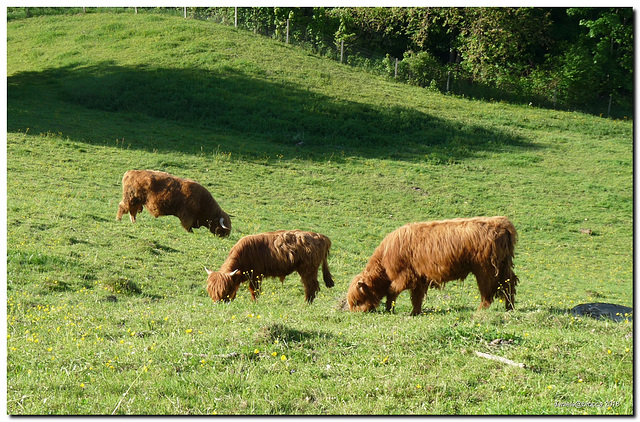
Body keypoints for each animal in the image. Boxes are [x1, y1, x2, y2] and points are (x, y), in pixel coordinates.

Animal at [206, 231, 338, 304]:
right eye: (210, 290)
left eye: (226, 289)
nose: (218, 303)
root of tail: (320, 236)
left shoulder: (256, 275)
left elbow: (254, 291)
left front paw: (254, 303)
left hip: (308, 269)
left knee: (311, 287)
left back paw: (306, 303)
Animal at [348, 216, 516, 314]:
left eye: (358, 301)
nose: (355, 312)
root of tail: (500, 223)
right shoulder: (419, 278)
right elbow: (416, 297)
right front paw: (414, 312)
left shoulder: (405, 276)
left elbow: (392, 291)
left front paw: (390, 308)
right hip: (503, 266)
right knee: (509, 285)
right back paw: (509, 308)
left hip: (485, 269)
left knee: (487, 292)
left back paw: (480, 311)